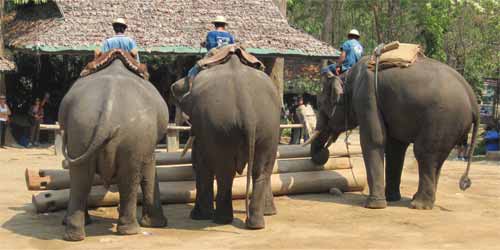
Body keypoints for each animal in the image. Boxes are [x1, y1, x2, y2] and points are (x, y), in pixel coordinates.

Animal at [58, 58, 170, 240]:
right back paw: (130, 231)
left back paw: (74, 235)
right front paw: (157, 224)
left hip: (81, 129)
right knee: (128, 177)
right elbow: (150, 170)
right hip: (133, 135)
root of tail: (108, 106)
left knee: (81, 178)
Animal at [170, 54, 282, 229]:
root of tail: (246, 104)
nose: (173, 87)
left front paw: (198, 216)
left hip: (220, 126)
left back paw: (221, 220)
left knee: (225, 171)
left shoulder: (203, 129)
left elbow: (200, 163)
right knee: (261, 170)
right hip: (268, 125)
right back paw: (255, 224)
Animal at [310, 56, 478, 209]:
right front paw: (391, 199)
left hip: (442, 120)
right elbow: (395, 147)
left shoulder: (366, 97)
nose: (323, 153)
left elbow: (374, 139)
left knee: (424, 153)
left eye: (321, 105)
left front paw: (374, 205)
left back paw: (418, 205)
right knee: (437, 159)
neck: (347, 76)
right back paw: (421, 200)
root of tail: (472, 98)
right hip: (449, 126)